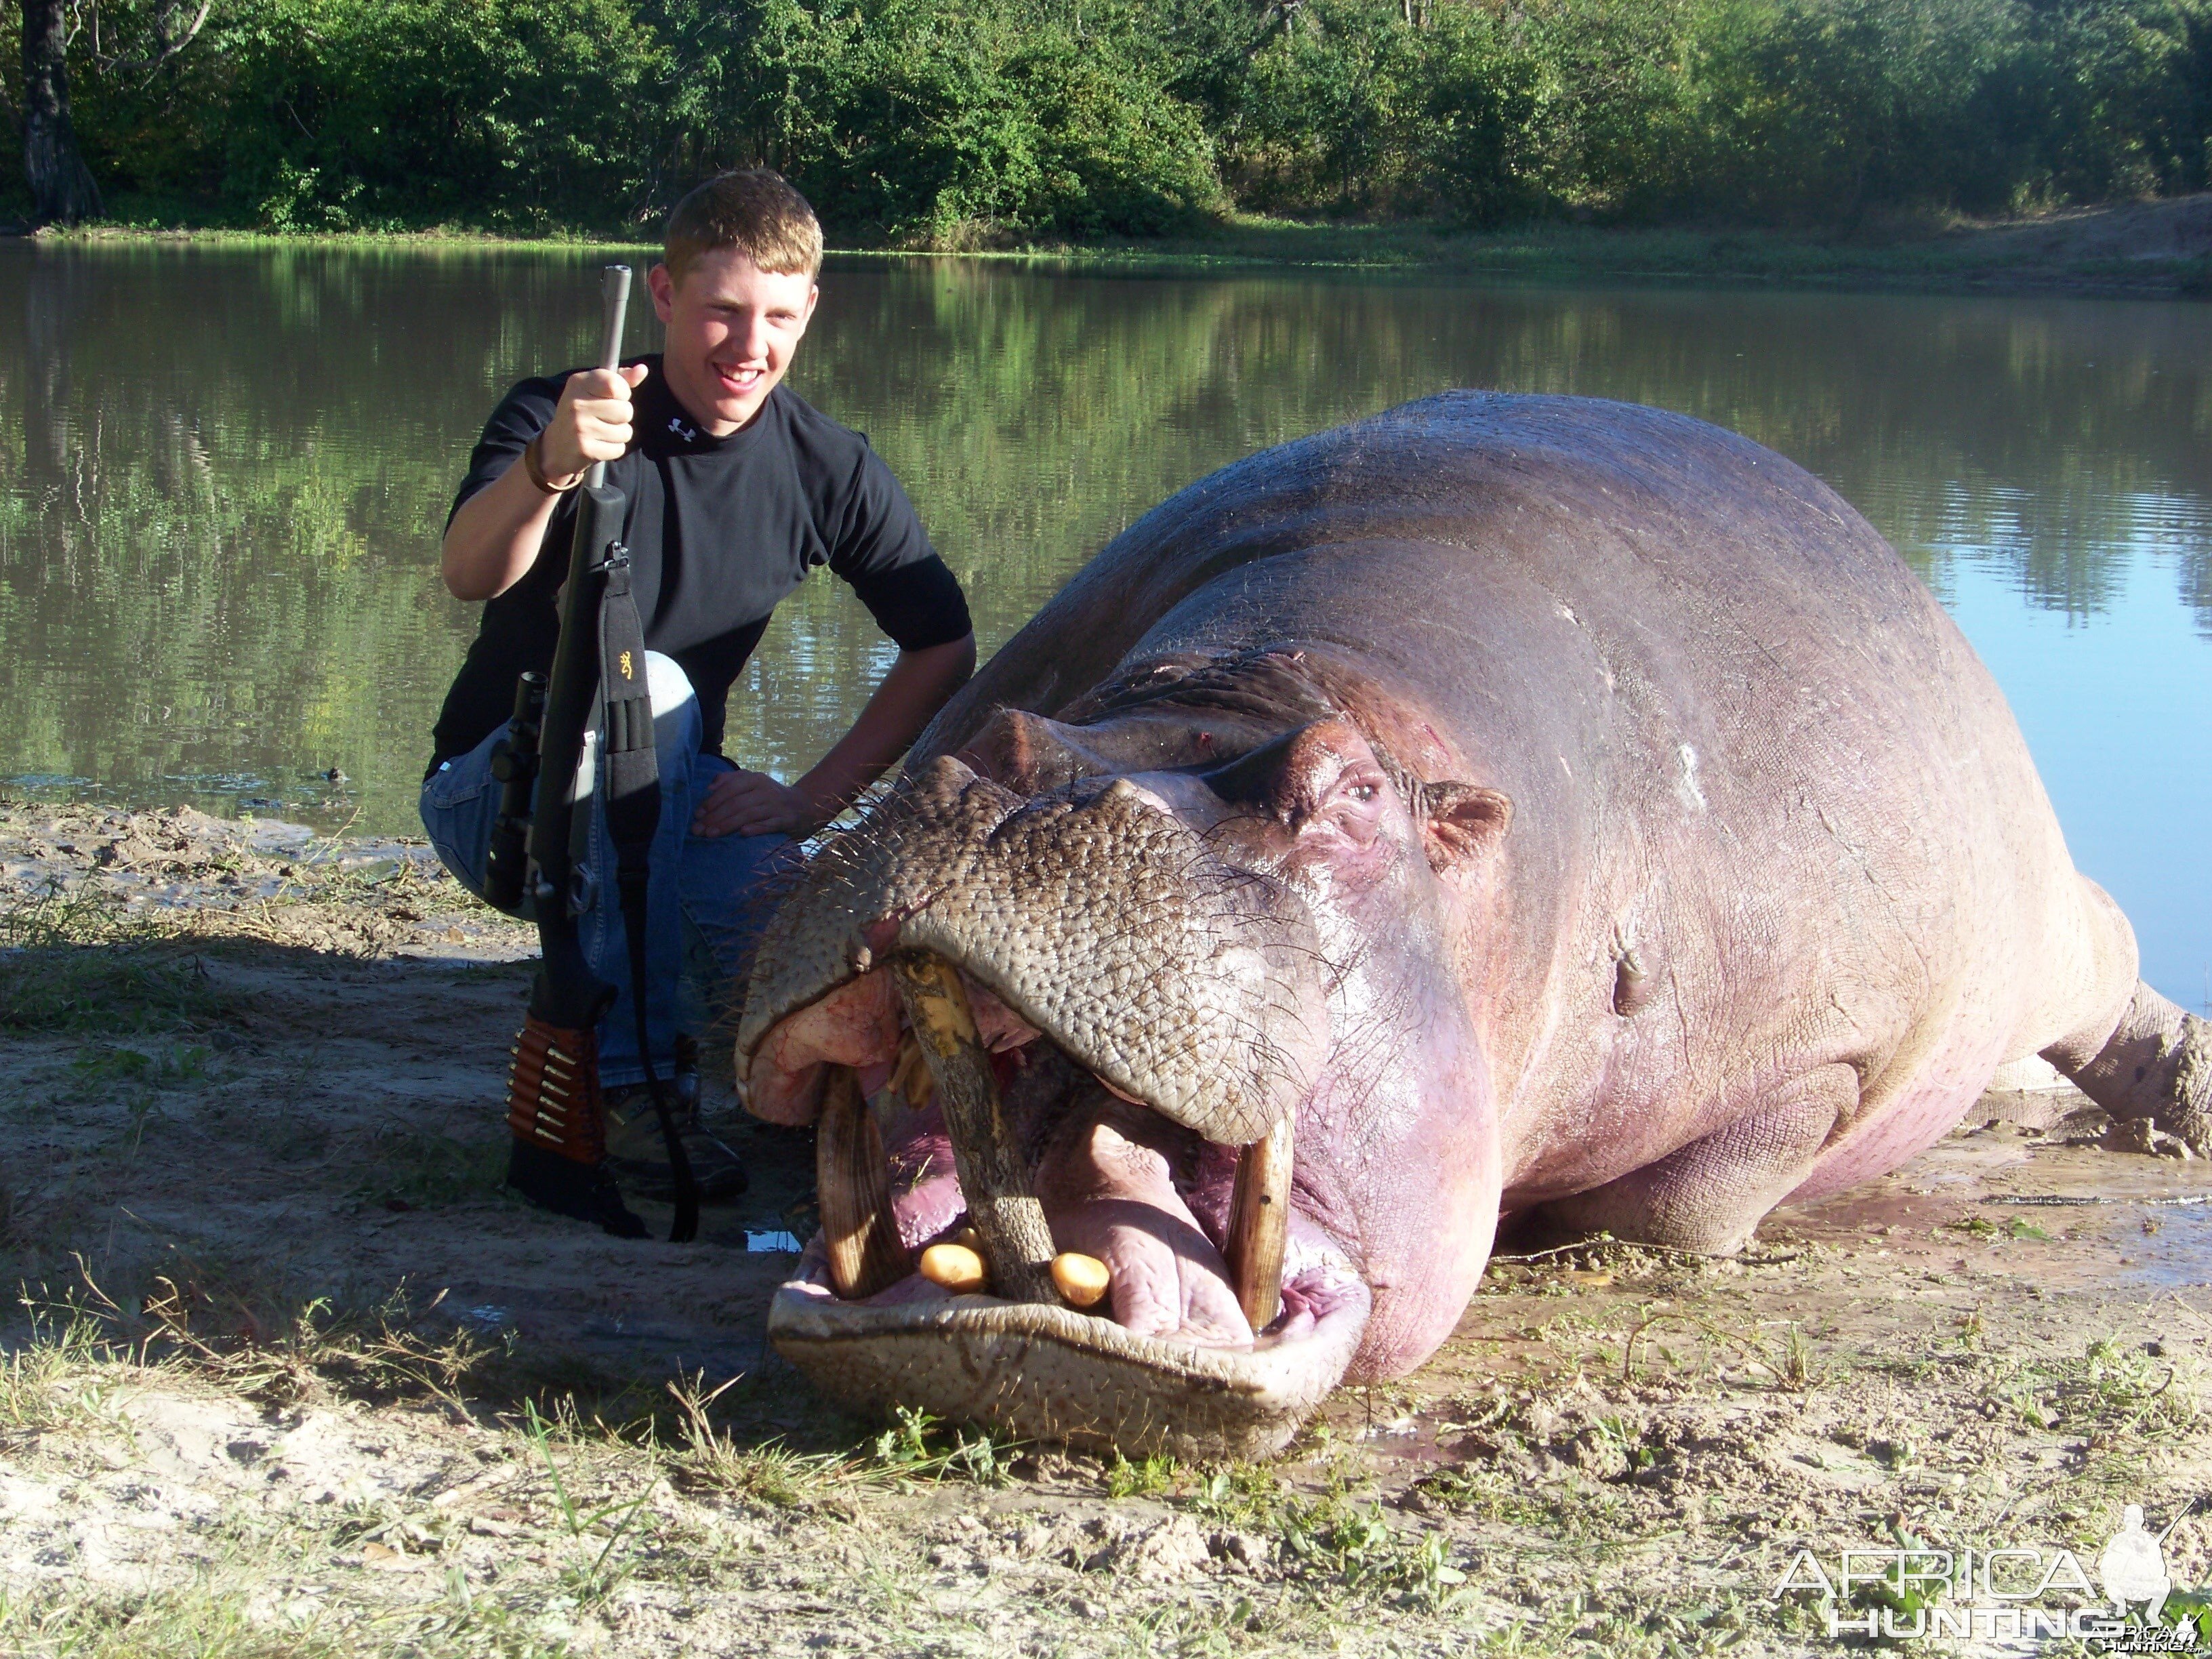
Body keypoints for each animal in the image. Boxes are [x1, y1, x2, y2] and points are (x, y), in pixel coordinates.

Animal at [730, 396, 2212, 1460]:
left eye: (1346, 795)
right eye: (1002, 731)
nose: (1019, 802)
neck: (1246, 686)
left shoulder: (1835, 1045)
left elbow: (1679, 1206)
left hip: (2039, 927)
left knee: (2107, 962)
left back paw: (2177, 1095)